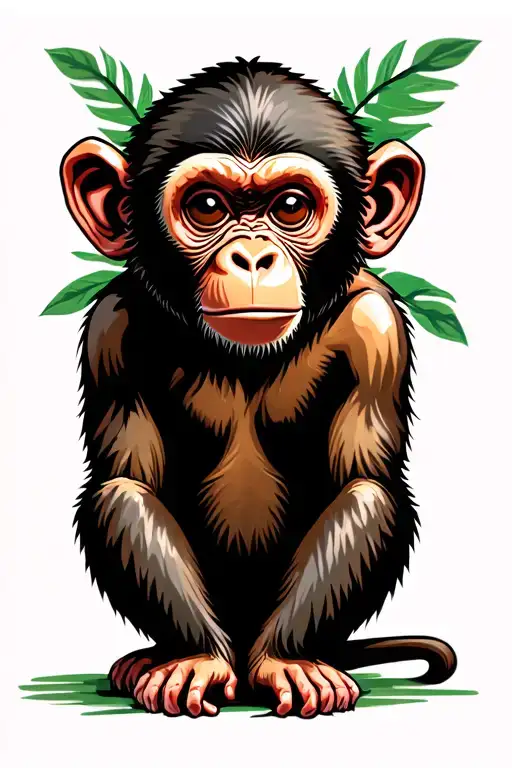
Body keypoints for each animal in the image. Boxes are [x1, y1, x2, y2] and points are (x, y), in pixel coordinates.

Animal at [60, 57, 457, 718]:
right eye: (208, 206)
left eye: (290, 205)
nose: (251, 256)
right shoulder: (111, 326)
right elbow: (129, 485)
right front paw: (196, 658)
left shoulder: (376, 326)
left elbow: (363, 486)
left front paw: (288, 662)